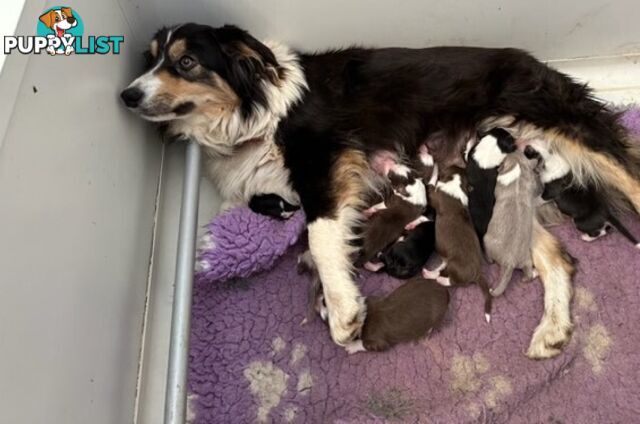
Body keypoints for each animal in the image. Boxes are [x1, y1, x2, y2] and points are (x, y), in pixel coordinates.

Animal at [422, 166, 492, 322]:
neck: (456, 180)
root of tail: (477, 272)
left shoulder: (433, 194)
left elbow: (432, 182)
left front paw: (435, 169)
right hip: (448, 262)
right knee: (441, 268)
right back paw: (429, 273)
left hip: (455, 267)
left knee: (451, 281)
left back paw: (439, 280)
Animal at [482, 152, 544, 294]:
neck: (518, 170)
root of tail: (509, 262)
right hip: (527, 260)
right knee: (528, 274)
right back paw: (529, 277)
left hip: (486, 240)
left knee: (489, 256)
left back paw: (488, 259)